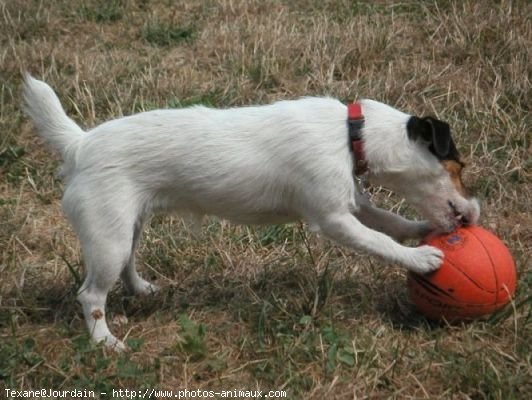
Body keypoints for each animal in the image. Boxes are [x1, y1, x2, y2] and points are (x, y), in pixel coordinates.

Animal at [20, 75, 480, 350]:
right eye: (458, 168)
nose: (473, 215)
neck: (352, 134)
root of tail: (79, 145)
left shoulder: (355, 203)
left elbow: (390, 222)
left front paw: (420, 229)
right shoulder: (333, 218)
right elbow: (381, 241)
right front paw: (421, 258)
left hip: (125, 226)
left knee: (127, 263)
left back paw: (140, 289)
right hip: (107, 237)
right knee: (91, 294)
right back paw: (105, 342)